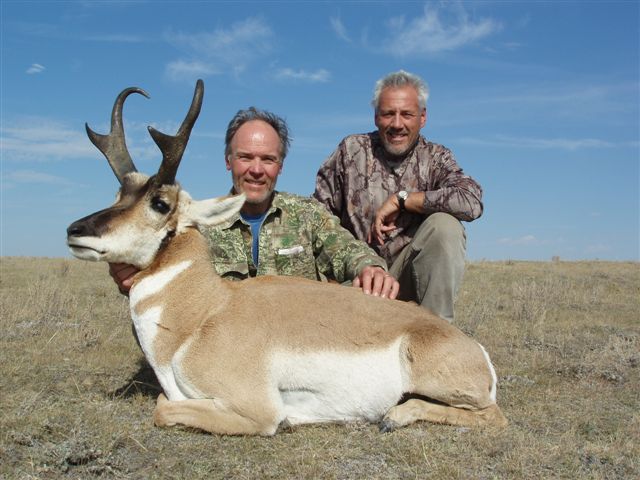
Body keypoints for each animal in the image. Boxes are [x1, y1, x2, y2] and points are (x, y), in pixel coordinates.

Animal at [65, 81, 504, 436]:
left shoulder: (257, 412)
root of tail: (470, 347)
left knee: (491, 415)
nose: (74, 230)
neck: (204, 313)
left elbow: (163, 407)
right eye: (119, 194)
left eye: (159, 203)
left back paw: (393, 417)